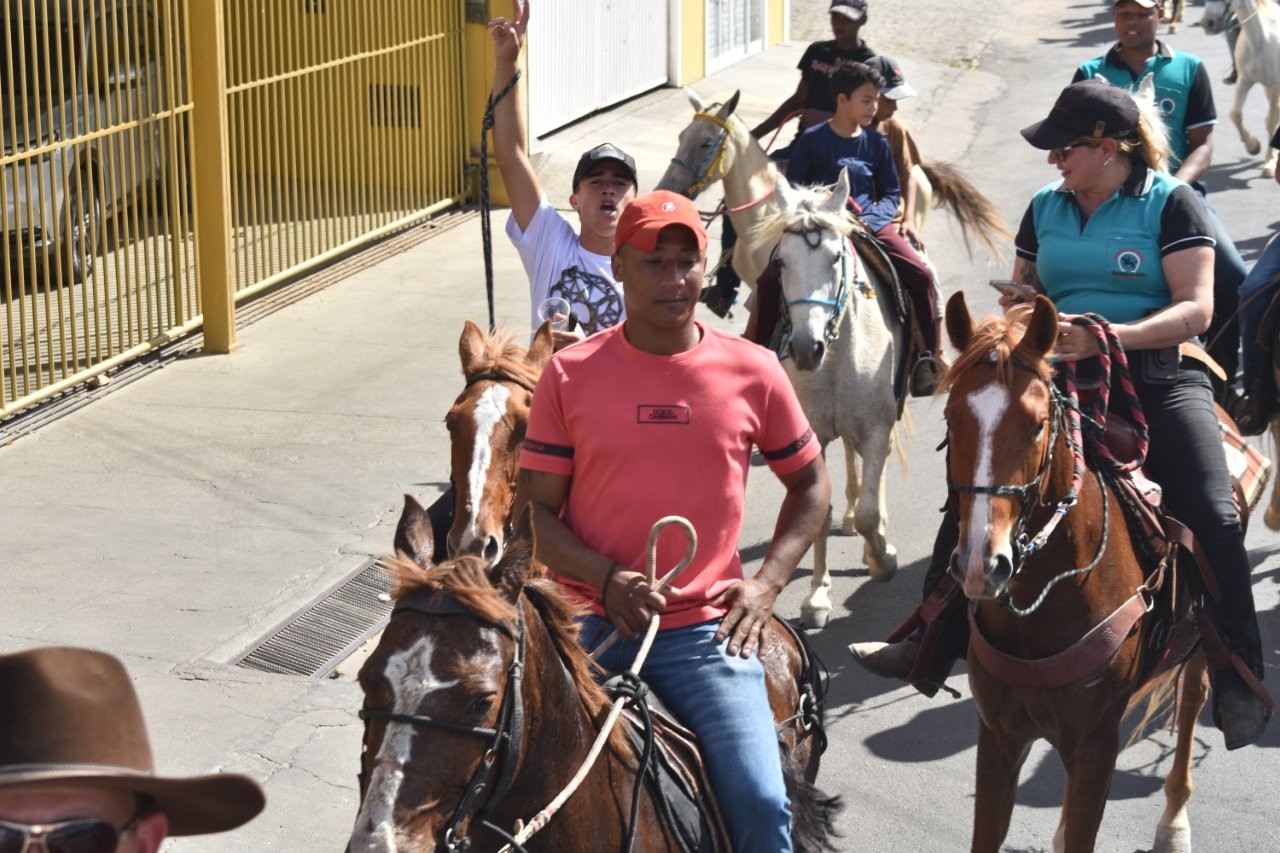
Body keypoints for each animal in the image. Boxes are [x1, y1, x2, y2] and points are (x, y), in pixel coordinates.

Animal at [751, 170, 902, 629]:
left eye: (836, 258)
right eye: (781, 263)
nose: (805, 349)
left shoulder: (877, 428)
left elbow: (871, 506)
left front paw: (882, 559)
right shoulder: (811, 438)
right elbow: (819, 508)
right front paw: (817, 597)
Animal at [940, 292, 1211, 853]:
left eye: (1037, 424)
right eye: (953, 420)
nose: (981, 564)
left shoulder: (1094, 747)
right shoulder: (998, 737)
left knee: (1193, 698)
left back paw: (1174, 820)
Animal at [1203, 0, 1280, 177]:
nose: (1208, 23)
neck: (1260, 41)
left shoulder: (1275, 86)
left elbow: (1272, 121)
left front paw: (1270, 162)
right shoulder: (1245, 81)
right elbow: (1235, 115)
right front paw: (1253, 146)